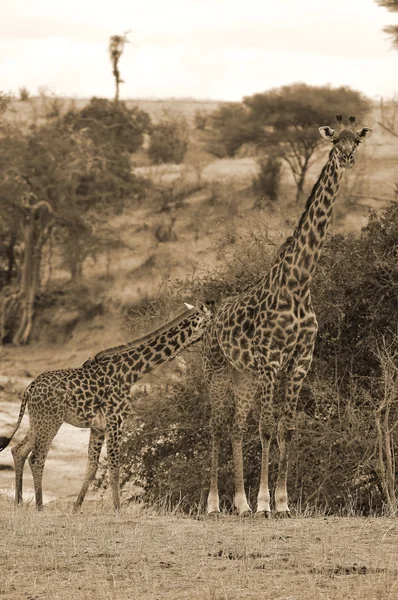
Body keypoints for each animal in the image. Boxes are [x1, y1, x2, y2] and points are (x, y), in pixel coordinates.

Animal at [0, 302, 211, 508]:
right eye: (210, 320)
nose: (212, 336)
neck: (132, 372)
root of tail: (29, 387)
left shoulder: (98, 427)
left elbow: (92, 468)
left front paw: (76, 507)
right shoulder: (115, 421)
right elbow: (114, 467)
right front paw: (117, 509)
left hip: (38, 421)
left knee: (19, 450)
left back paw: (19, 502)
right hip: (50, 421)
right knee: (36, 458)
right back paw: (39, 506)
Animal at [202, 116, 374, 516]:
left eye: (357, 141)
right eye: (334, 141)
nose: (347, 158)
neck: (299, 284)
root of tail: (212, 315)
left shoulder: (300, 359)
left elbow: (287, 428)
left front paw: (281, 502)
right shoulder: (270, 359)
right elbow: (266, 428)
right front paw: (265, 502)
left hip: (243, 374)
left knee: (235, 426)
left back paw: (240, 505)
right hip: (217, 366)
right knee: (216, 426)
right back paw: (215, 504)